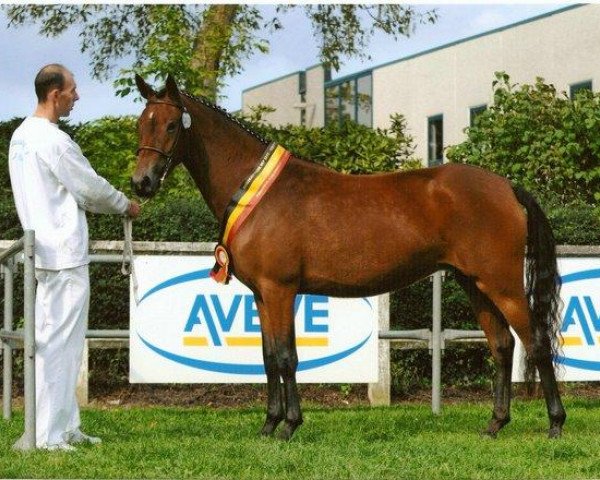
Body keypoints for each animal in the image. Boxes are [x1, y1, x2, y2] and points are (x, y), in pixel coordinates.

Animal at [132, 74, 568, 438]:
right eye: (140, 124)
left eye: (171, 125)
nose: (141, 183)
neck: (259, 192)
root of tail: (507, 186)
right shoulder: (262, 294)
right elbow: (269, 357)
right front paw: (269, 425)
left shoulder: (279, 289)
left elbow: (287, 357)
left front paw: (289, 426)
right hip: (474, 282)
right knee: (502, 345)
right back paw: (495, 424)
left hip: (503, 284)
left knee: (536, 343)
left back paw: (555, 425)